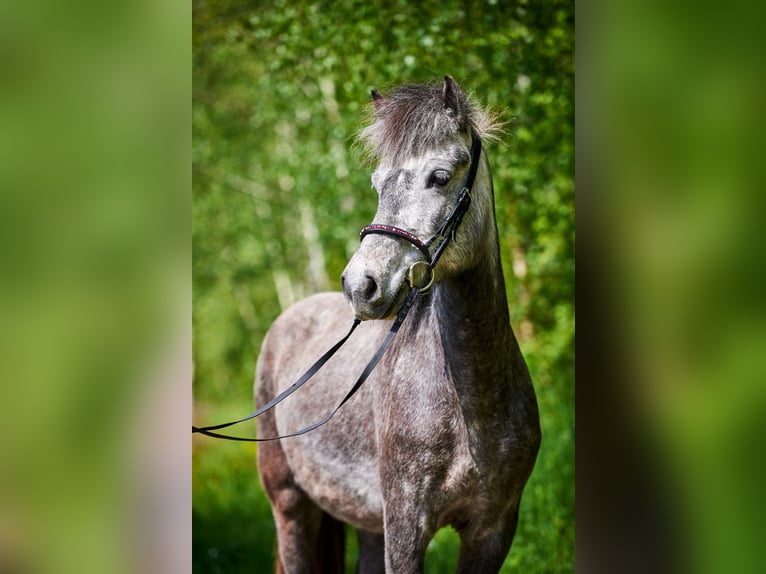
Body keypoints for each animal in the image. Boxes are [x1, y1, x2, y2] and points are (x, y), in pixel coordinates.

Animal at [255, 76, 540, 574]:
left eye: (440, 177)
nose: (359, 285)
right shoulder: (406, 527)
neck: (473, 405)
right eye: (377, 183)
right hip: (290, 505)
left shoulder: (493, 532)